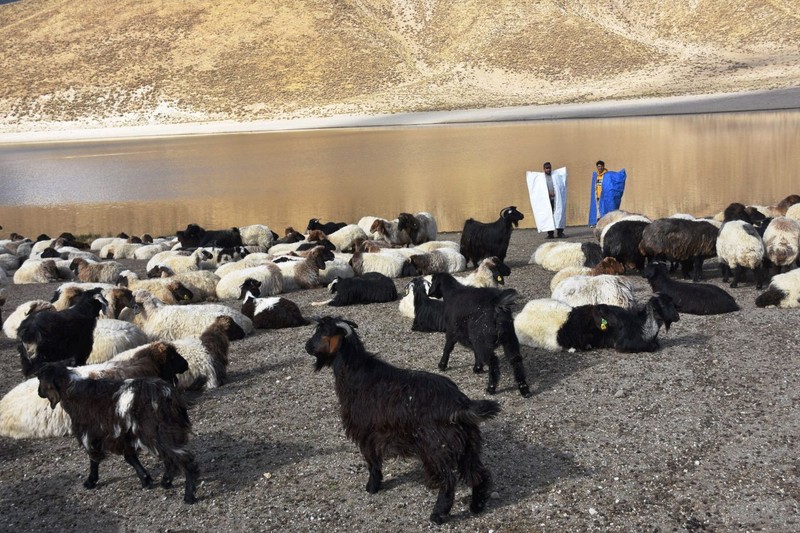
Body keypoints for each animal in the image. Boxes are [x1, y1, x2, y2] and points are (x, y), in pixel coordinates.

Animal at [37, 362, 200, 502]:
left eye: (39, 379)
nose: (39, 393)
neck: (72, 392)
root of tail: (167, 395)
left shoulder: (89, 434)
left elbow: (94, 458)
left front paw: (90, 481)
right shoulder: (123, 435)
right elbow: (130, 458)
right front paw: (145, 479)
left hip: (157, 432)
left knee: (183, 459)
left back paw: (189, 496)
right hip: (167, 431)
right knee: (170, 457)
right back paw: (166, 482)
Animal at [306, 316, 500, 524]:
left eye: (324, 332)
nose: (307, 346)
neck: (355, 372)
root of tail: (460, 403)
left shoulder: (367, 433)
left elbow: (373, 463)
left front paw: (372, 487)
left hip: (436, 449)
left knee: (448, 482)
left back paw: (437, 514)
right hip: (467, 447)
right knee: (479, 475)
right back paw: (476, 506)